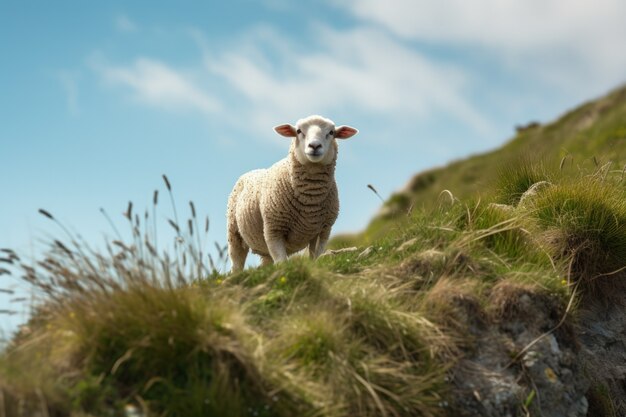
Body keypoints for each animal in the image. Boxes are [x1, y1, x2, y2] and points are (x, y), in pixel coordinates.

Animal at [227, 114, 358, 270]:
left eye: (331, 132)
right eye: (299, 131)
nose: (314, 146)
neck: (310, 202)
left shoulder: (323, 230)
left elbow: (315, 257)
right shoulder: (273, 230)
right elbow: (282, 262)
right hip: (234, 234)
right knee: (237, 263)